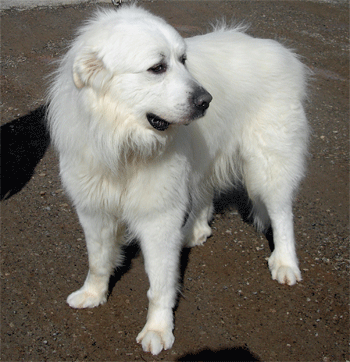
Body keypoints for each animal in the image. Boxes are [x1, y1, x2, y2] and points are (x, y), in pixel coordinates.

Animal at [46, 4, 308, 354]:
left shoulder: (157, 216)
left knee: (281, 214)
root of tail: (279, 51)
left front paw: (158, 330)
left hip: (268, 164)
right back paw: (193, 233)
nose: (206, 100)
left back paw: (284, 263)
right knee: (204, 196)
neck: (122, 142)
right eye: (157, 68)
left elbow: (159, 283)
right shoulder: (93, 209)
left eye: (184, 60)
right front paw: (93, 294)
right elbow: (98, 260)